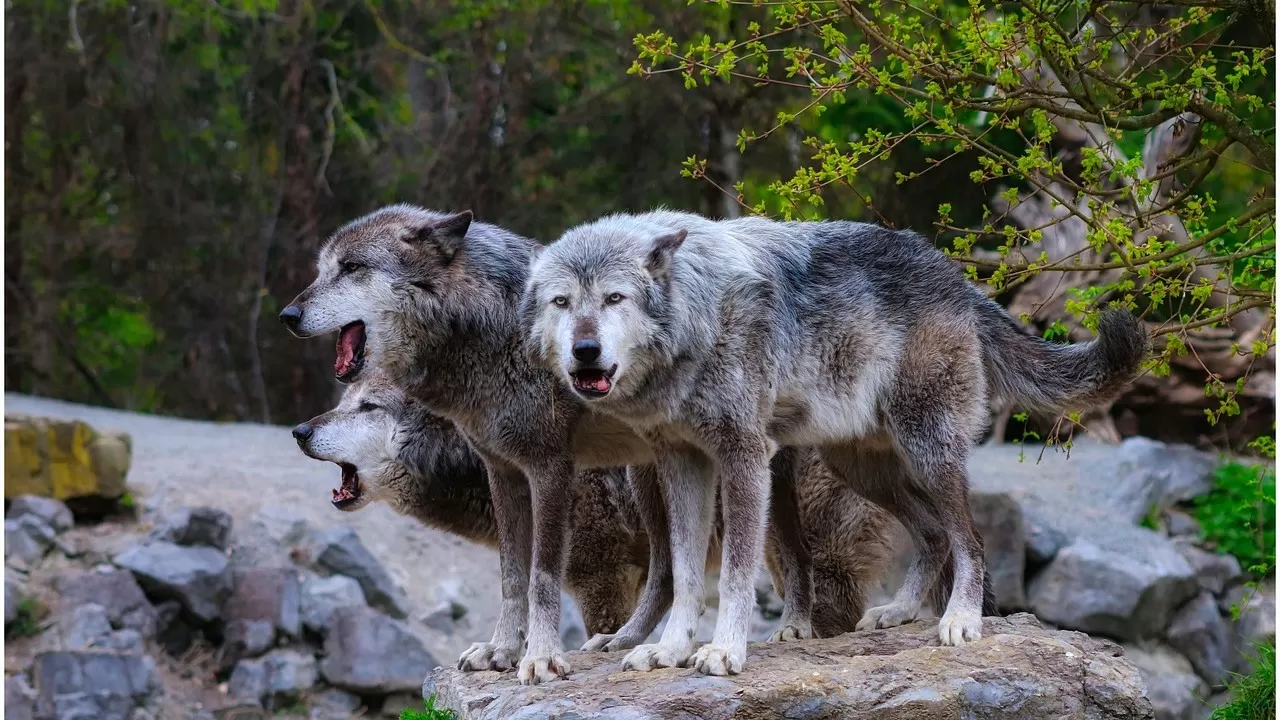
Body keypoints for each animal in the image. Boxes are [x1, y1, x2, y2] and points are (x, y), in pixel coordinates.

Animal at [281, 204, 819, 681]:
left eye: (351, 268)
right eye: (323, 269)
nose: (287, 313)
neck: (490, 331)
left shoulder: (557, 485)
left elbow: (540, 579)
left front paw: (540, 659)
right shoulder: (505, 473)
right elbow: (512, 577)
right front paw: (500, 651)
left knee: (794, 552)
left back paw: (794, 627)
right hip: (652, 477)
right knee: (669, 573)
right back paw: (626, 642)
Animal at [522, 207, 1152, 671]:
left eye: (614, 298)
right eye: (562, 302)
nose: (584, 351)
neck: (698, 313)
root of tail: (956, 277)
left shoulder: (744, 457)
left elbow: (734, 575)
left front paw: (724, 651)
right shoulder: (683, 463)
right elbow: (684, 572)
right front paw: (671, 649)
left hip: (928, 451)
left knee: (969, 539)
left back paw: (961, 621)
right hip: (863, 469)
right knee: (934, 535)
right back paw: (899, 612)